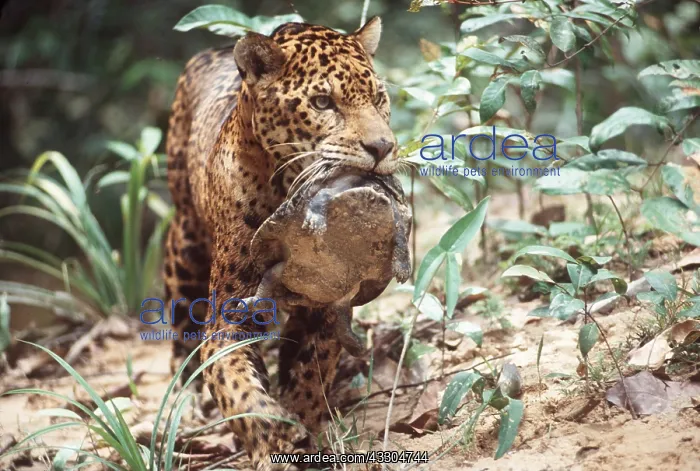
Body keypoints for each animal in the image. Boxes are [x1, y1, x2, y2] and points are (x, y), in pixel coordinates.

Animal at [163, 16, 398, 470]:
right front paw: (275, 438)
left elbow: (309, 378)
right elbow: (238, 386)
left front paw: (302, 432)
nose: (383, 147)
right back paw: (184, 396)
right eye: (323, 102)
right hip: (184, 244)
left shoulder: (324, 309)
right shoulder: (228, 318)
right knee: (181, 322)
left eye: (379, 99)